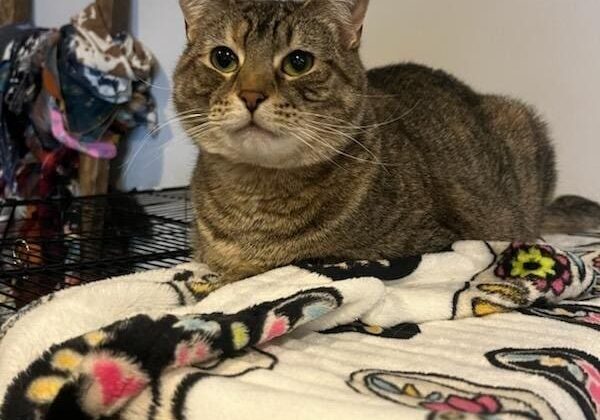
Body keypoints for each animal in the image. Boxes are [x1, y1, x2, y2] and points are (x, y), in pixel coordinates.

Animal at [173, 0, 600, 284]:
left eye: (298, 62)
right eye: (223, 58)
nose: (251, 95)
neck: (256, 197)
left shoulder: (430, 246)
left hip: (522, 124)